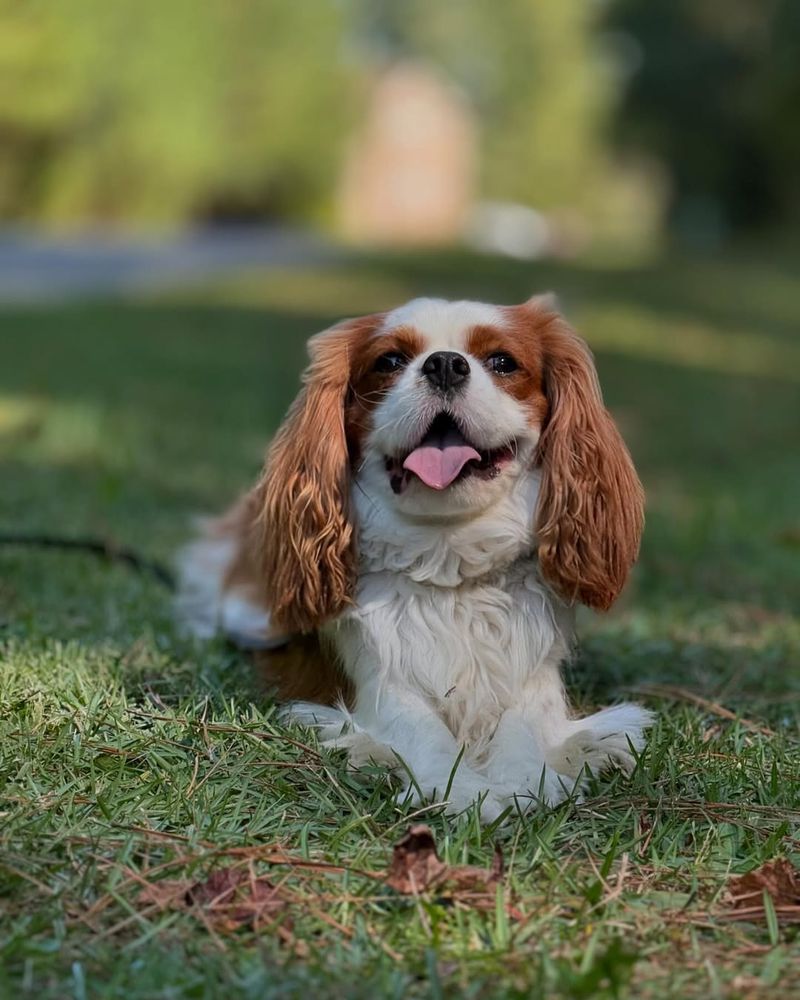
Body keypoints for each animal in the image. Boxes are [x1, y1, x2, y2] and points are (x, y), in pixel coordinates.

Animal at [175, 294, 648, 820]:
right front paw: (463, 790)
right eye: (390, 362)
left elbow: (521, 727)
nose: (444, 364)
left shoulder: (531, 677)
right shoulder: (379, 681)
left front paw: (526, 781)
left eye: (503, 362)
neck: (449, 561)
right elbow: (423, 730)